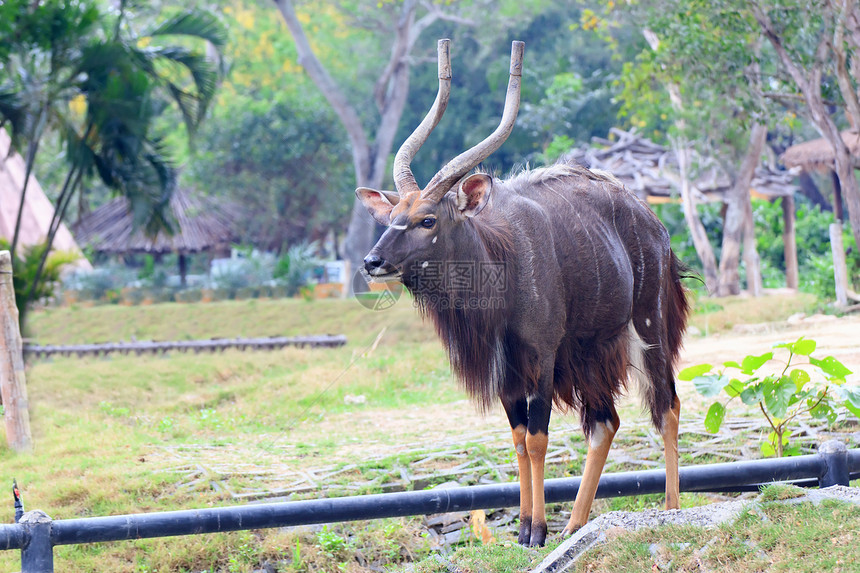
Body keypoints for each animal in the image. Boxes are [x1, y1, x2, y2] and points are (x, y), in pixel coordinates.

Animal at [358, 40, 692, 544]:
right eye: (391, 215)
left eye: (427, 219)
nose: (372, 262)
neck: (502, 262)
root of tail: (656, 226)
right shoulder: (508, 372)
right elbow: (517, 438)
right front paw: (521, 528)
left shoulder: (543, 357)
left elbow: (537, 438)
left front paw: (536, 529)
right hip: (590, 353)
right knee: (606, 422)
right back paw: (575, 523)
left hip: (647, 327)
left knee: (667, 407)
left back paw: (669, 509)